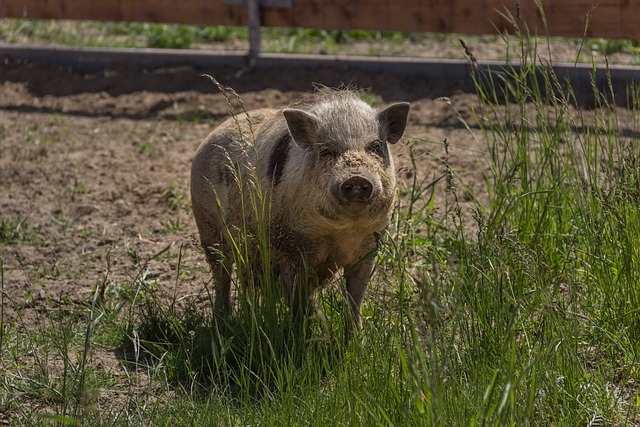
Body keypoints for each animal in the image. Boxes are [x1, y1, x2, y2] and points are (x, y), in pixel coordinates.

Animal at [190, 86, 410, 328]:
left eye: (375, 147)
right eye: (326, 151)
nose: (357, 177)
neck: (342, 231)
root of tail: (211, 136)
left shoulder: (370, 246)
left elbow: (355, 297)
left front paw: (354, 334)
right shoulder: (292, 249)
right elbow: (297, 300)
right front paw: (300, 332)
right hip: (207, 226)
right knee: (222, 273)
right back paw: (222, 321)